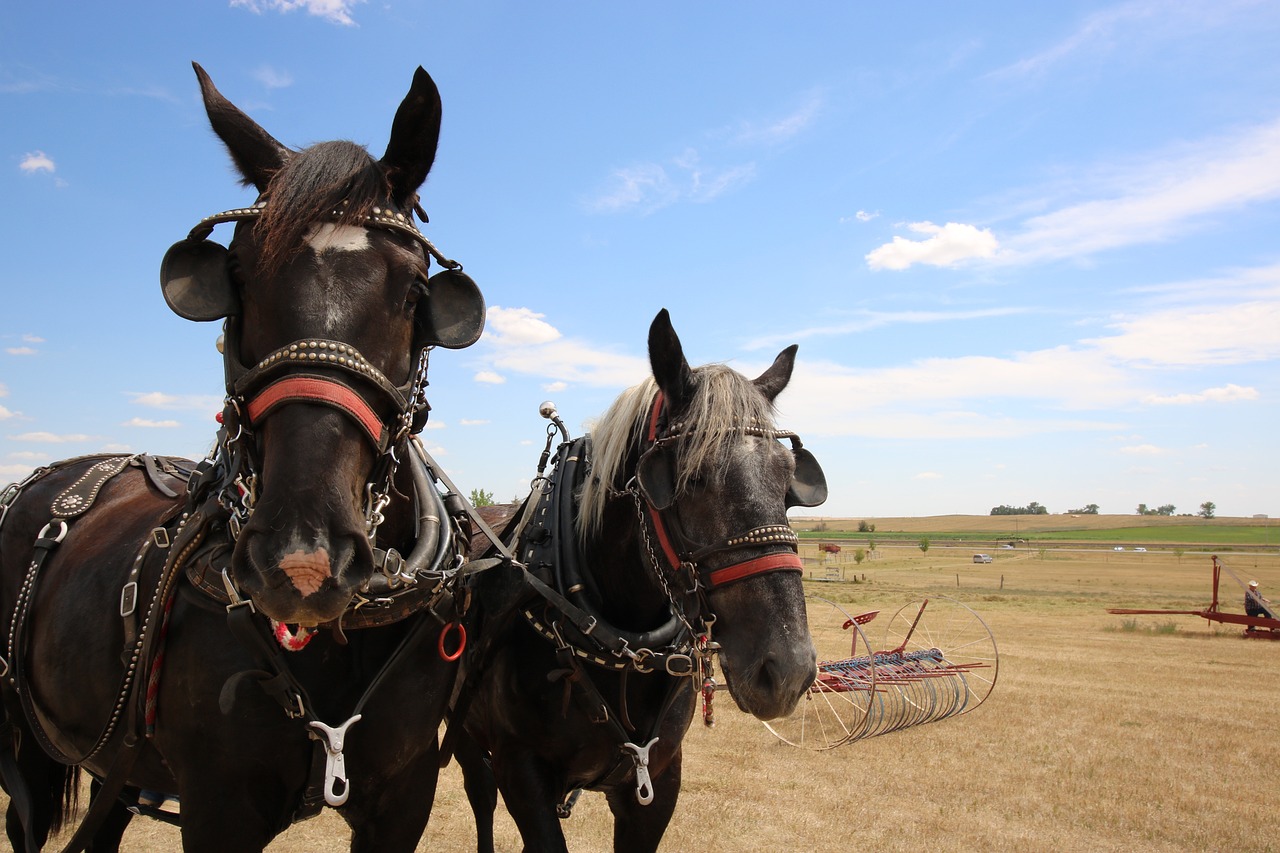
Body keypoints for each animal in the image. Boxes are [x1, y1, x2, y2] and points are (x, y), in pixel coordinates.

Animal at [460, 307, 829, 850]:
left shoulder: (656, 776)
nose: (788, 671)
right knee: (479, 795)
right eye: (691, 478)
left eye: (789, 483)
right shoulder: (520, 771)